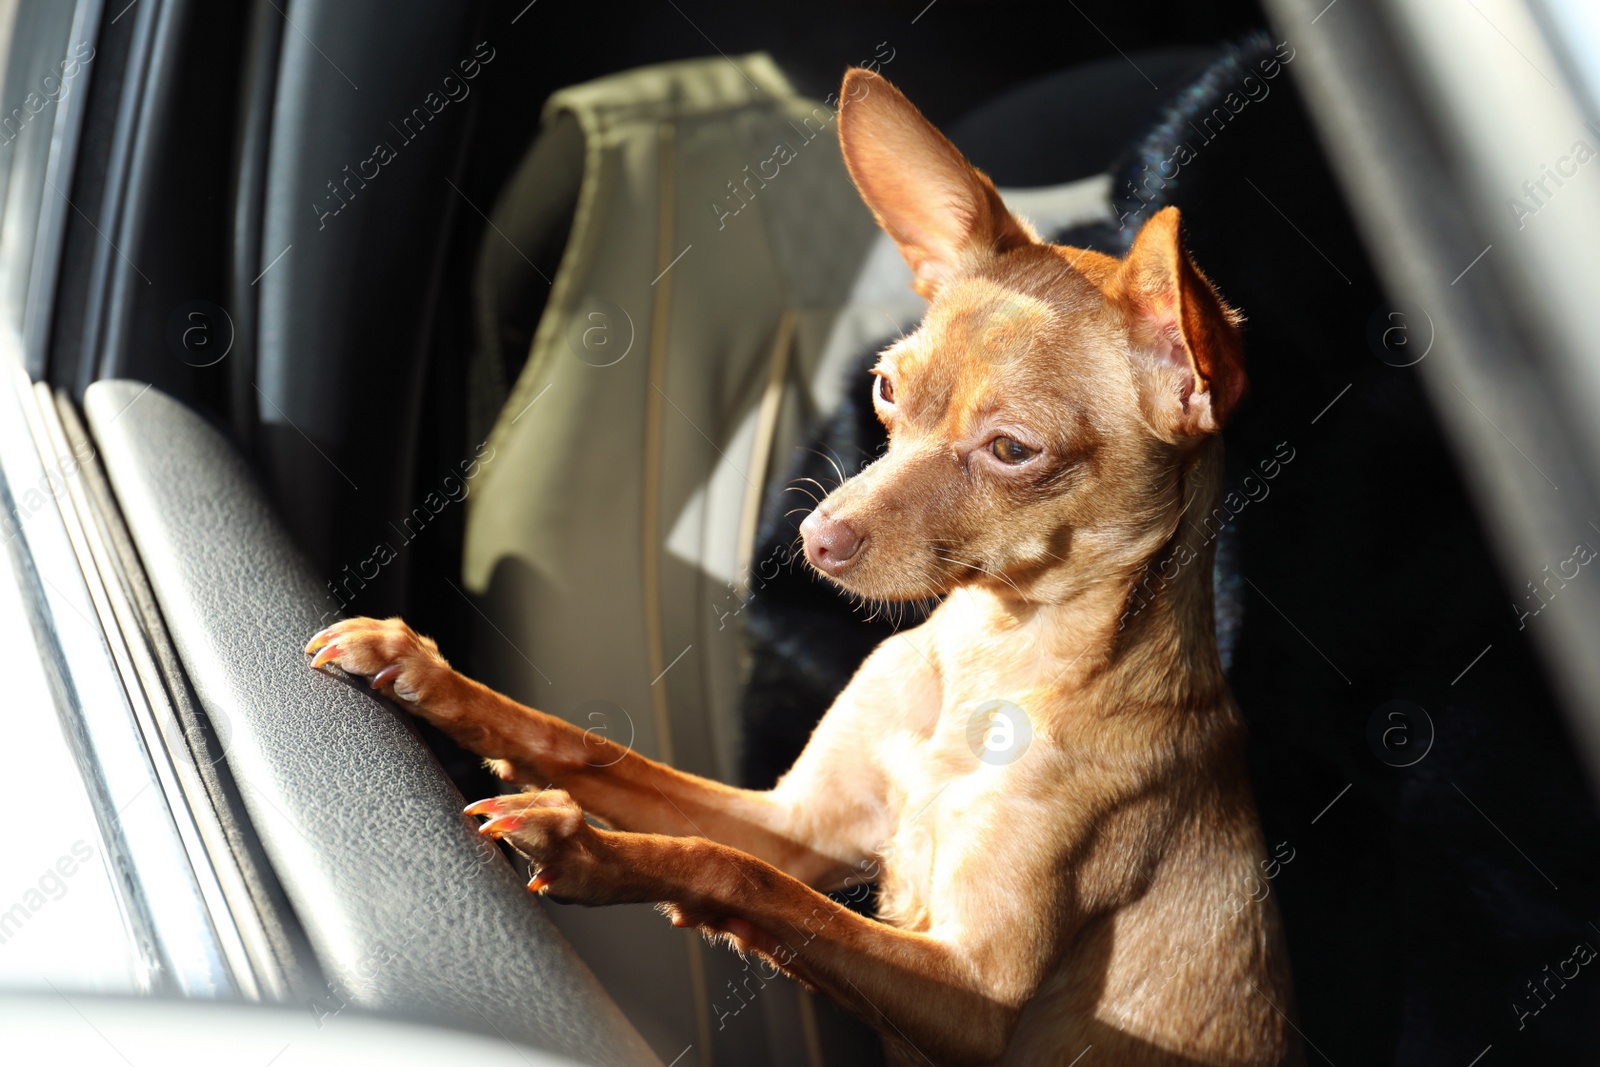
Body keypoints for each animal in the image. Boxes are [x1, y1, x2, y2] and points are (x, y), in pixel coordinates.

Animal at [308, 68, 1299, 1067]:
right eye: (886, 390)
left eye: (1013, 450)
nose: (815, 539)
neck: (988, 662)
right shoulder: (791, 825)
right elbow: (591, 748)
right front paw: (422, 671)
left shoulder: (974, 997)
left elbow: (742, 876)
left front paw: (591, 851)